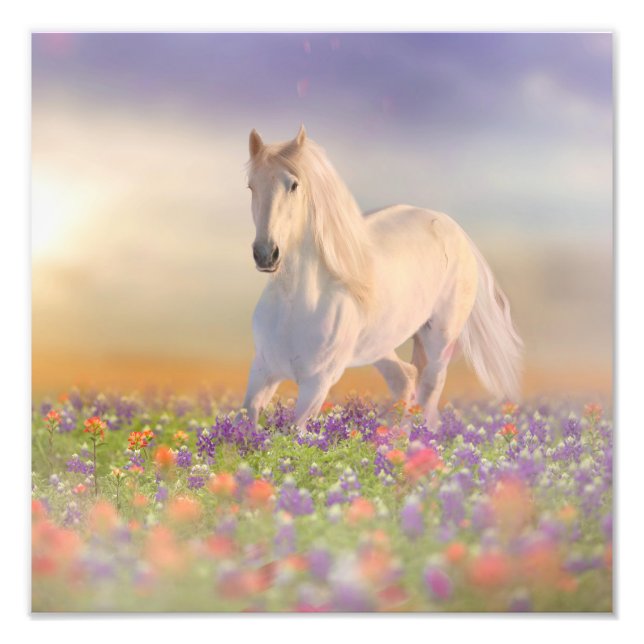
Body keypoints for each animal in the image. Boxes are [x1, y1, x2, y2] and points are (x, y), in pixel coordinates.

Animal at [241, 125, 523, 429]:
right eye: (251, 186)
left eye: (293, 185)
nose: (265, 254)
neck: (294, 305)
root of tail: (454, 229)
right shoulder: (263, 371)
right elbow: (247, 423)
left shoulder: (315, 385)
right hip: (380, 344)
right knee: (405, 379)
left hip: (439, 339)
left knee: (428, 392)